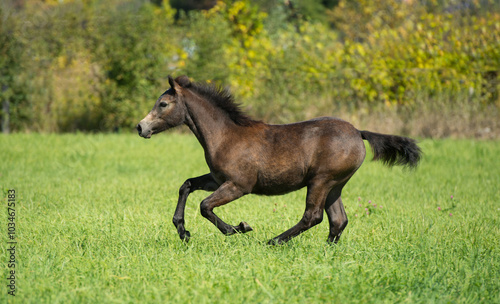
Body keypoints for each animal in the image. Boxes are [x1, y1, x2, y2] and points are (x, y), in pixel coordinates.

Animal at [137, 76, 422, 245]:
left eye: (163, 104)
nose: (140, 127)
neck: (225, 135)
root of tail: (358, 132)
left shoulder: (238, 185)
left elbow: (205, 206)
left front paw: (239, 228)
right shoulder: (218, 179)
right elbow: (186, 185)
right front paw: (182, 230)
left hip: (321, 181)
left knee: (313, 216)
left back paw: (273, 241)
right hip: (335, 185)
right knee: (338, 220)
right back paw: (326, 251)